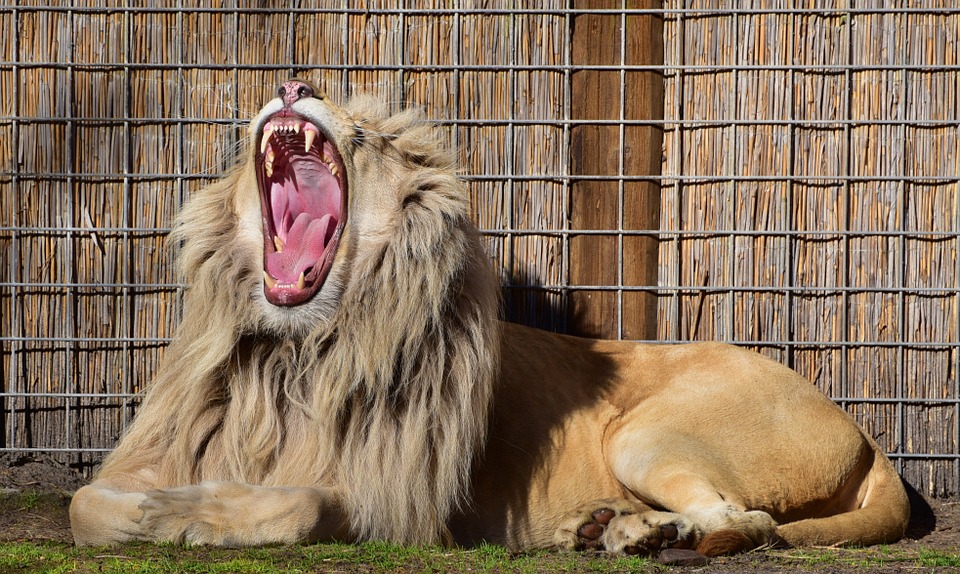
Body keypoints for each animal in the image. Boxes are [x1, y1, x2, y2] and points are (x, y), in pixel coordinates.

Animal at [69, 79, 910, 557]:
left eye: (365, 137)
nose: (292, 84)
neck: (293, 353)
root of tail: (864, 429)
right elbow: (85, 503)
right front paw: (154, 509)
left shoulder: (398, 508)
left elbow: (301, 505)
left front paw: (188, 515)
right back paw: (603, 529)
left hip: (645, 433)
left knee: (749, 519)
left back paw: (647, 534)